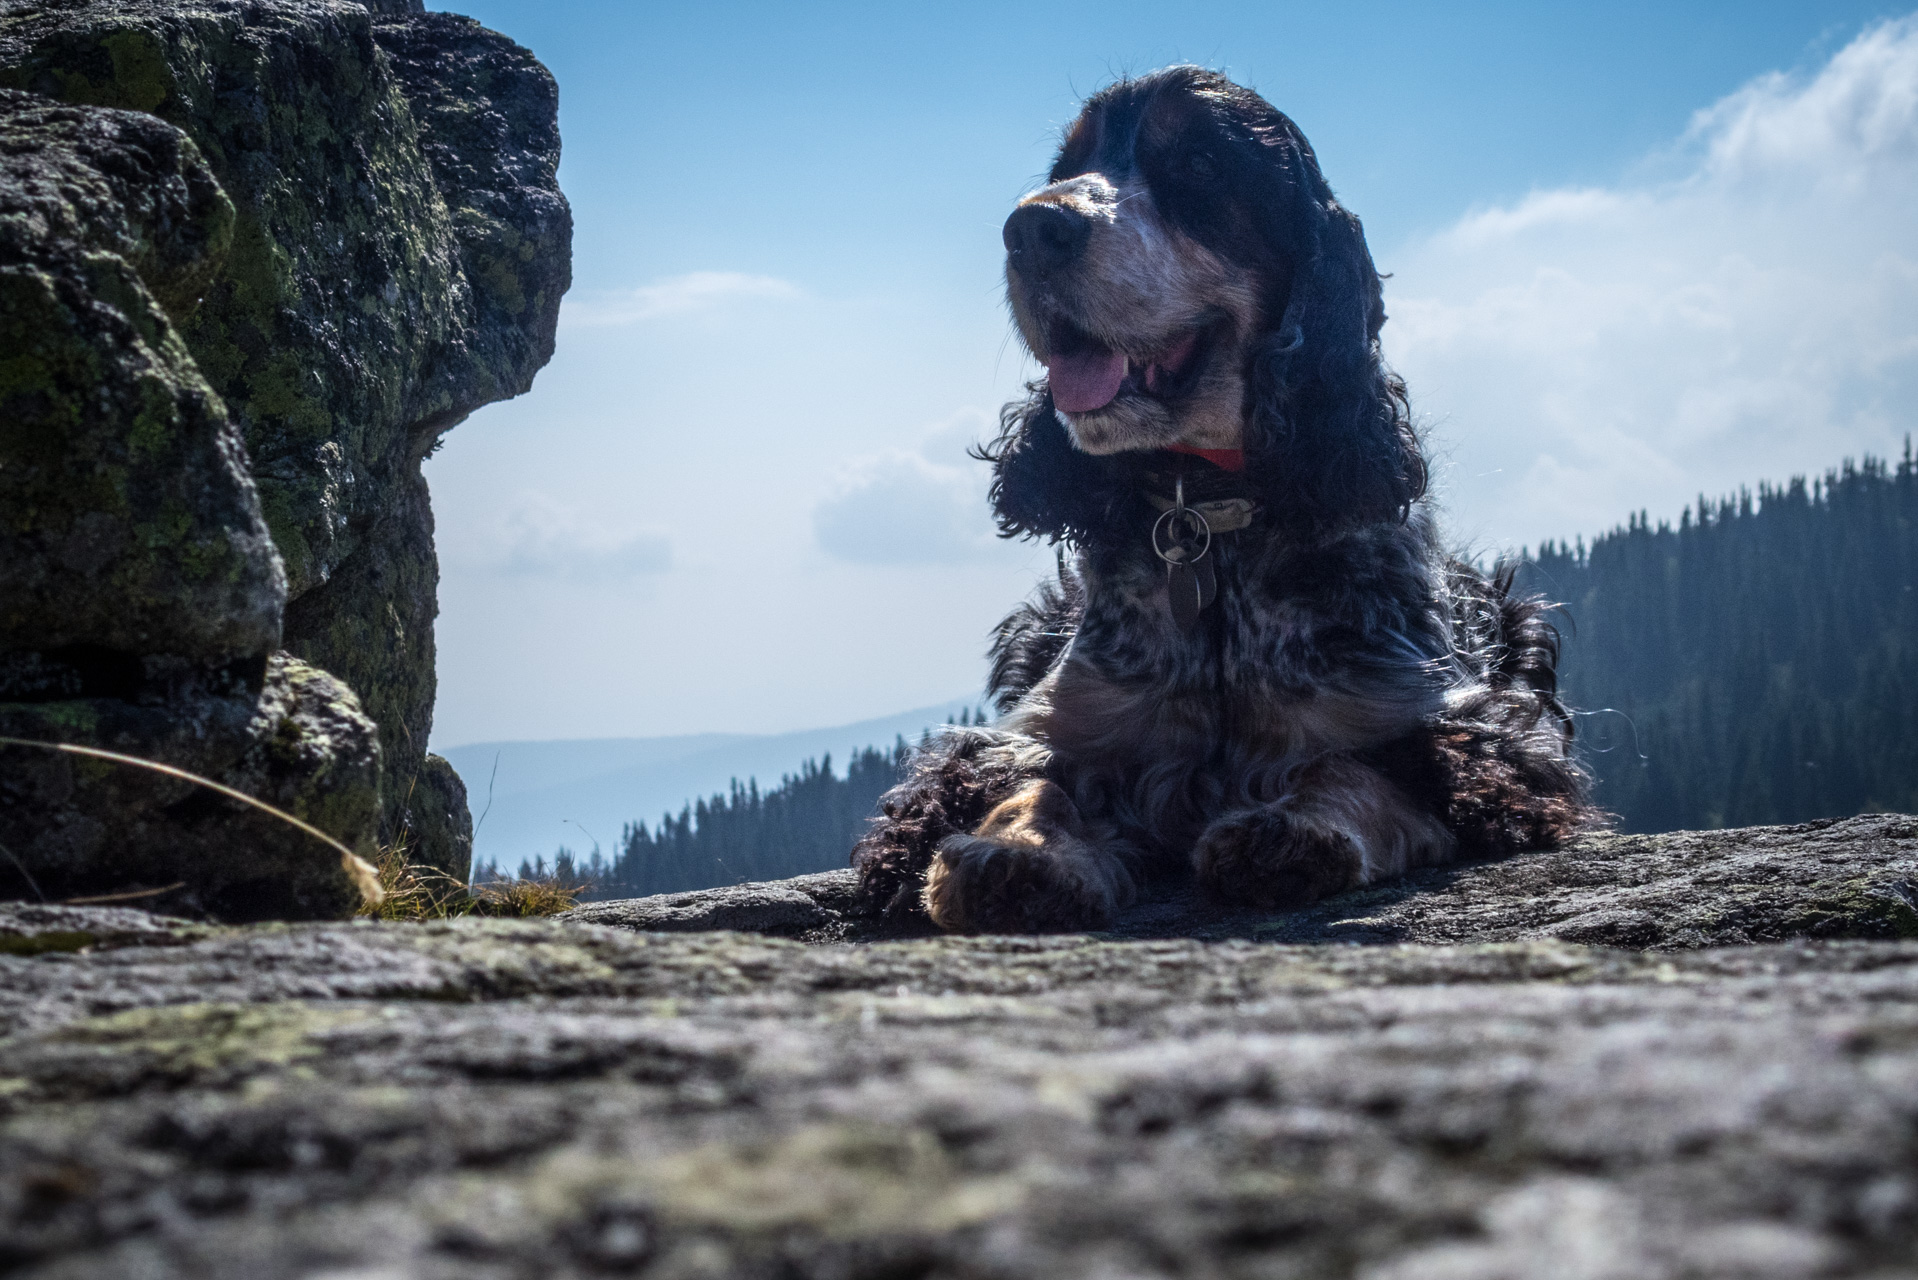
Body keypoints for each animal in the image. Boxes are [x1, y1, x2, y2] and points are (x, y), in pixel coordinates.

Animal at [855, 67, 1588, 932]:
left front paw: (1289, 833)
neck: (1209, 515)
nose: (1031, 228)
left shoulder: (1475, 736)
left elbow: (1362, 768)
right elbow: (1027, 781)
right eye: (1066, 165)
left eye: (1200, 164)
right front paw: (1011, 856)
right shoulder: (1053, 724)